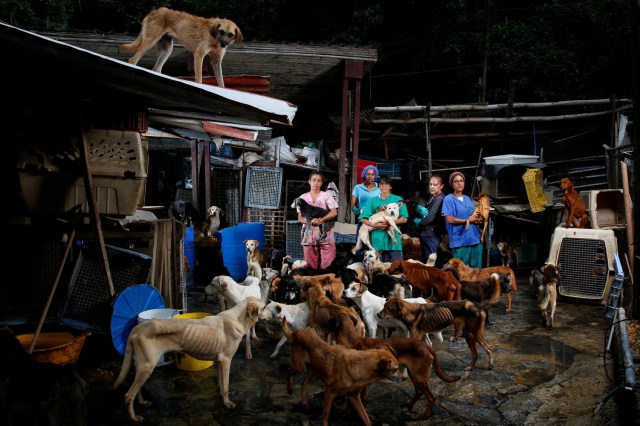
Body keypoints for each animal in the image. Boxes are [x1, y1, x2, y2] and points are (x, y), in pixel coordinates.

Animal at [114, 296, 262, 422]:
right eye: (264, 306)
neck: (238, 317)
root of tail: (138, 327)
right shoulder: (226, 361)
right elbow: (226, 387)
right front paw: (227, 403)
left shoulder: (219, 361)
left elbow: (221, 384)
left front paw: (221, 397)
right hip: (147, 366)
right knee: (128, 395)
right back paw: (134, 418)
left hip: (141, 366)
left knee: (136, 389)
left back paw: (142, 402)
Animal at [330, 312, 460, 422]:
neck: (352, 340)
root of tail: (426, 346)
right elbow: (358, 399)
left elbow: (355, 401)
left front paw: (348, 415)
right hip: (414, 374)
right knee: (419, 392)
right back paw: (409, 404)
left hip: (419, 377)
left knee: (431, 397)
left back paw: (424, 416)